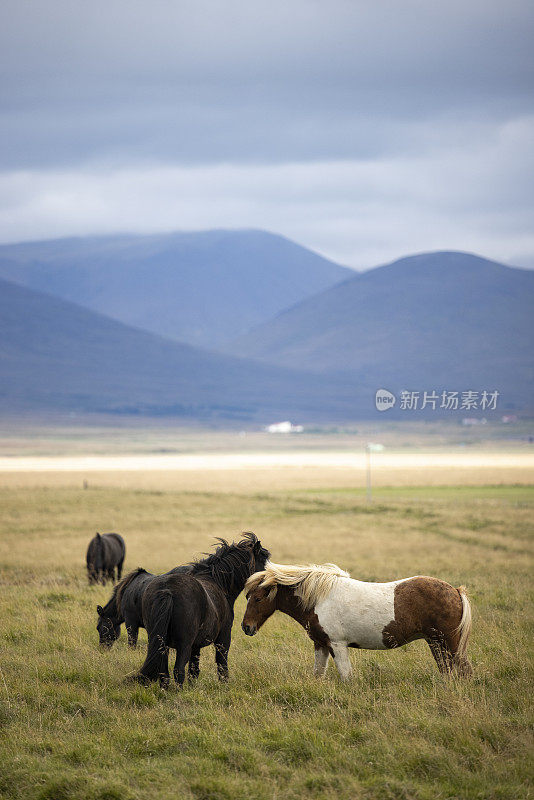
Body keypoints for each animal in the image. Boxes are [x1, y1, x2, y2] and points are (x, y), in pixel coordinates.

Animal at [130, 532, 272, 688]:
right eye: (264, 561)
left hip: (161, 643)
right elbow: (221, 665)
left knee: (164, 673)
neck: (218, 583)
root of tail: (167, 590)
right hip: (183, 645)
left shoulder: (195, 646)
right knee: (178, 670)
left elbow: (194, 670)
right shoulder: (223, 638)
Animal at [243, 564, 474, 680]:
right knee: (447, 670)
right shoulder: (321, 644)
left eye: (258, 598)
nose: (246, 627)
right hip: (435, 642)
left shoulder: (337, 645)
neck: (319, 598)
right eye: (247, 596)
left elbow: (347, 676)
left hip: (449, 642)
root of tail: (455, 591)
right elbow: (318, 674)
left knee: (464, 670)